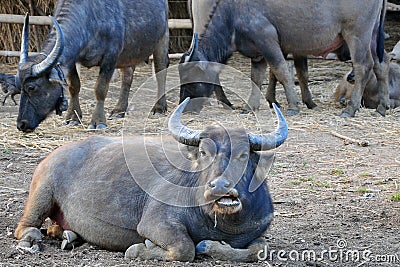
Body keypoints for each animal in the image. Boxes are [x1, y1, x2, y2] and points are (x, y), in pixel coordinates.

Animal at [13, 98, 288, 262]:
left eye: (244, 155)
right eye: (203, 152)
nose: (220, 187)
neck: (219, 222)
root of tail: (51, 156)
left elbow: (259, 249)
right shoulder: (155, 223)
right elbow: (184, 248)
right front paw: (138, 248)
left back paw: (68, 236)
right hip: (42, 191)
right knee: (25, 225)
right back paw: (34, 237)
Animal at [15, 0, 168, 133]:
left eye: (31, 87)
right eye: (19, 87)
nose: (22, 124)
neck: (90, 17)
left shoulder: (111, 56)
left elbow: (100, 89)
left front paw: (98, 121)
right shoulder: (72, 59)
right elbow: (74, 86)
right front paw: (73, 117)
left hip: (162, 39)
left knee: (161, 70)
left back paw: (159, 108)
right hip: (129, 52)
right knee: (127, 76)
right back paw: (119, 110)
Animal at [180, 0, 390, 117]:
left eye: (191, 80)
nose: (186, 107)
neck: (233, 12)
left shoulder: (268, 41)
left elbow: (281, 71)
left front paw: (293, 106)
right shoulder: (258, 53)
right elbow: (257, 78)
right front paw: (250, 106)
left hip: (356, 34)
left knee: (363, 66)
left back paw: (350, 109)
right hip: (372, 37)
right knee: (381, 65)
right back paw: (382, 107)